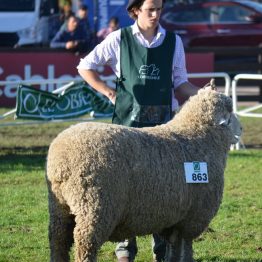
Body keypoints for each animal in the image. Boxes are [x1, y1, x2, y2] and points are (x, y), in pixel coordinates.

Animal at [45, 86, 242, 262]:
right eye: (230, 113)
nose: (241, 129)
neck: (199, 135)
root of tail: (62, 160)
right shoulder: (193, 216)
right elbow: (186, 247)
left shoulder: (175, 218)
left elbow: (174, 247)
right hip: (95, 206)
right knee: (84, 245)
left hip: (60, 206)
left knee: (58, 240)